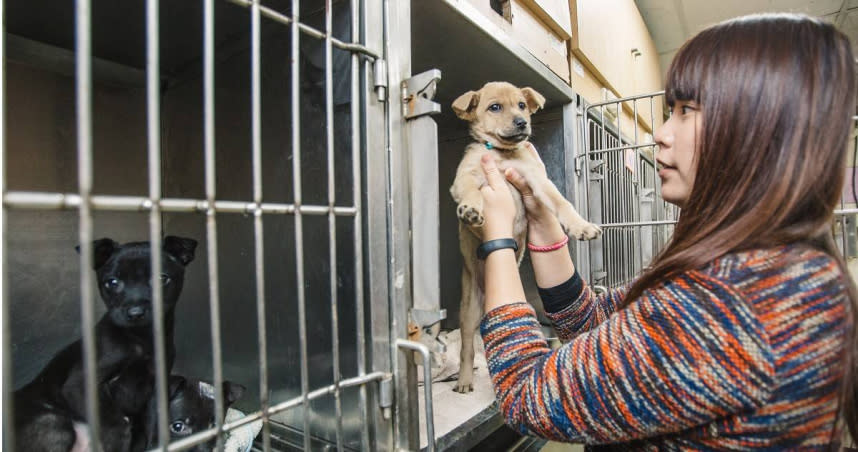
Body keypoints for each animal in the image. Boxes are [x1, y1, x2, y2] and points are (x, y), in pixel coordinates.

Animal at [14, 237, 196, 452]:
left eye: (161, 278)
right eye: (112, 282)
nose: (135, 313)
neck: (140, 338)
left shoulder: (156, 389)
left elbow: (152, 425)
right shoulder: (81, 384)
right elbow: (116, 422)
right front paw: (118, 439)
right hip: (54, 424)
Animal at [448, 83, 600, 394]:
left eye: (521, 105)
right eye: (495, 107)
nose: (522, 123)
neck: (500, 154)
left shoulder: (537, 180)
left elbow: (562, 203)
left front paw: (581, 226)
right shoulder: (464, 178)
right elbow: (471, 190)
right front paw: (471, 210)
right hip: (469, 311)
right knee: (467, 347)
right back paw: (465, 380)